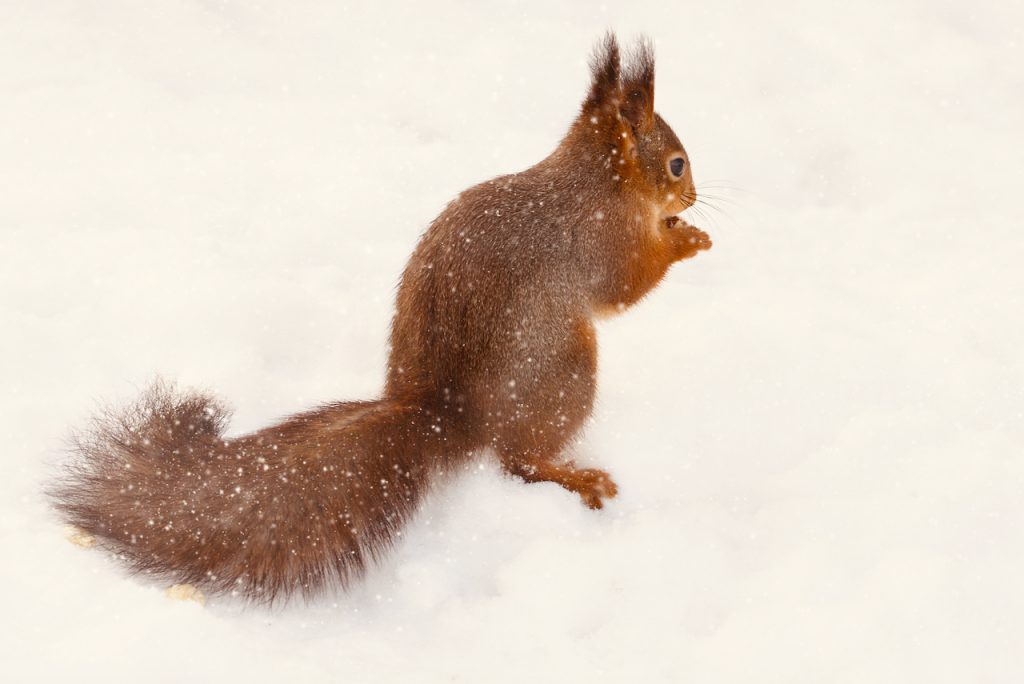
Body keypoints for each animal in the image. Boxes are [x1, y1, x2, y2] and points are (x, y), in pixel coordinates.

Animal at [51, 34, 708, 602]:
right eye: (677, 165)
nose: (692, 197)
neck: (594, 183)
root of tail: (445, 415)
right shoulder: (601, 242)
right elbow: (628, 284)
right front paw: (687, 239)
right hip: (566, 370)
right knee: (517, 462)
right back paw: (575, 477)